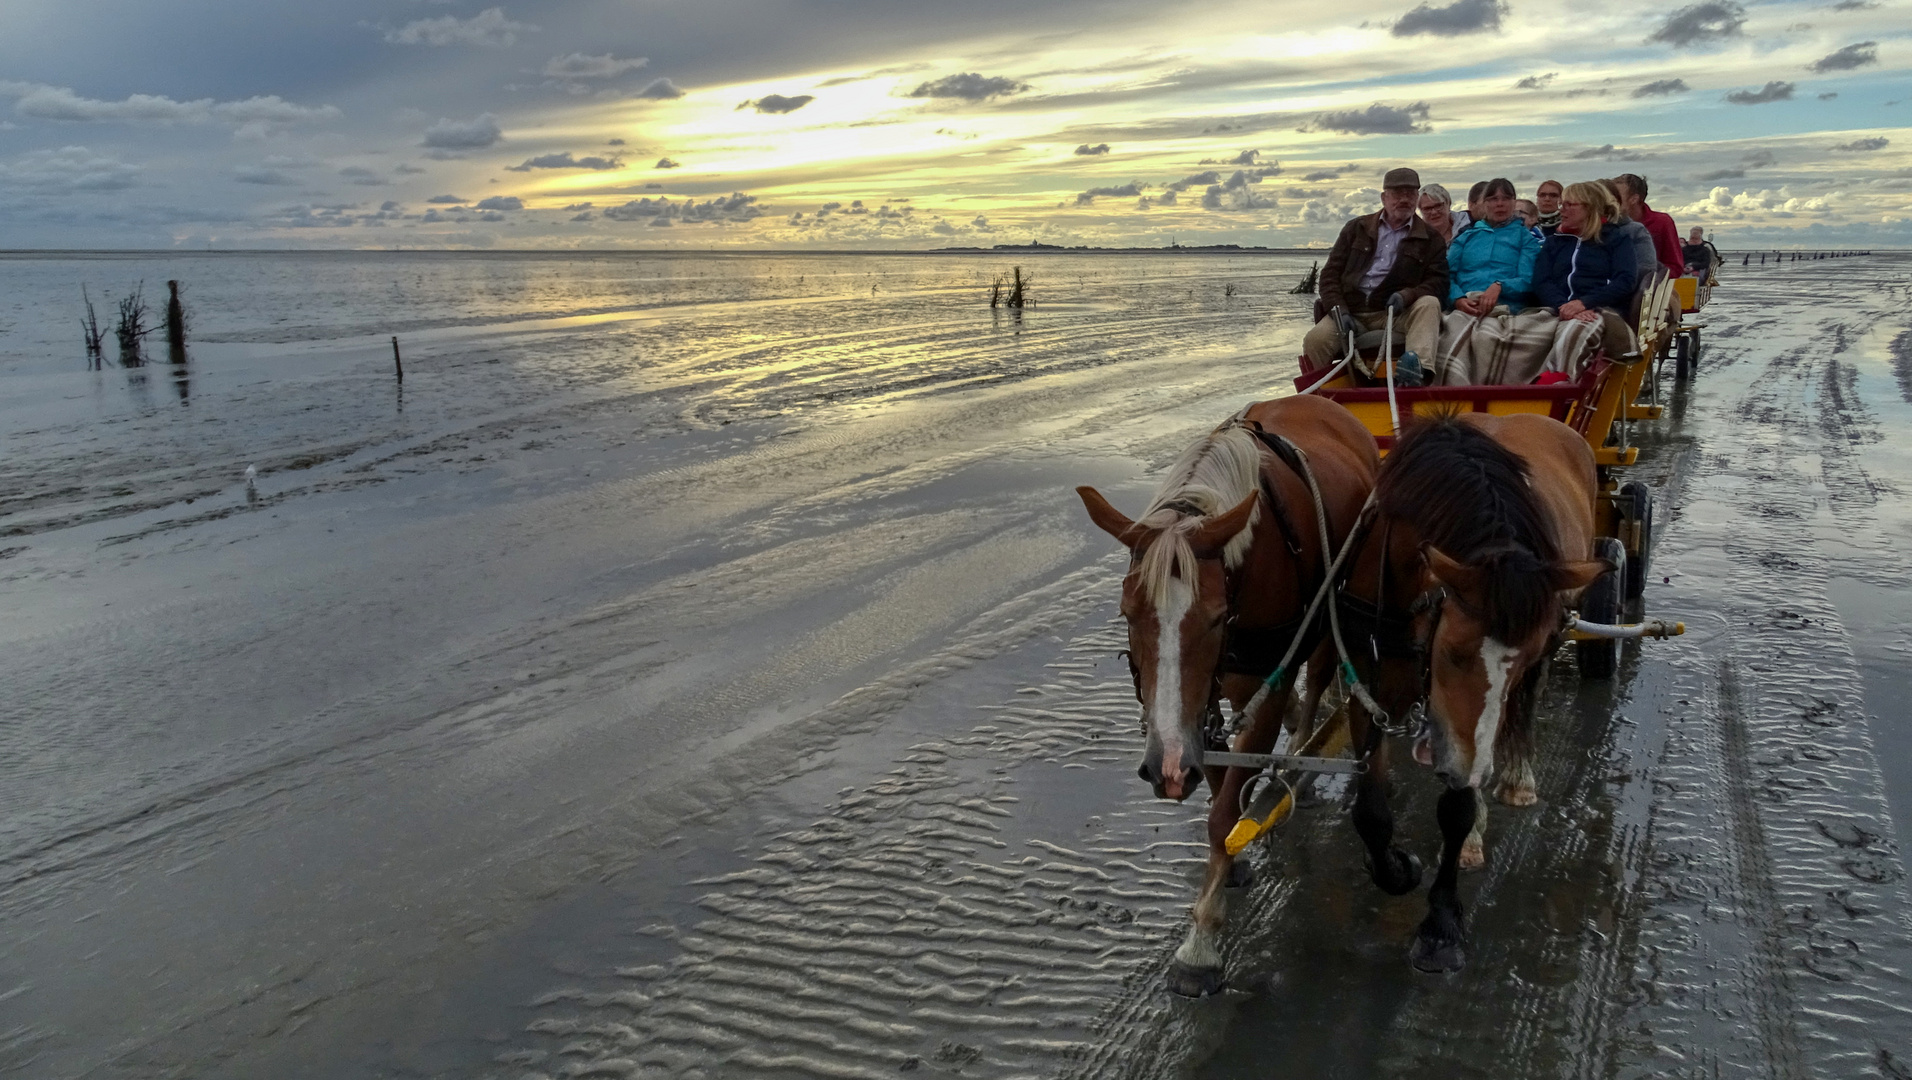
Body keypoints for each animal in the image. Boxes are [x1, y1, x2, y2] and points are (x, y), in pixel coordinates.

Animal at [1086, 393, 1384, 993]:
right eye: (1128, 614)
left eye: (1215, 616)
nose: (1166, 770)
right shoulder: (1197, 707)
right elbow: (1218, 776)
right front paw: (1229, 865)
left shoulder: (1259, 687)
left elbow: (1224, 811)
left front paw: (1201, 940)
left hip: (1332, 605)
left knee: (1319, 677)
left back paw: (1301, 757)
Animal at [1346, 410, 1613, 967]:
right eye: (1452, 649)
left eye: (1526, 653)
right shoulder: (1366, 680)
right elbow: (1372, 810)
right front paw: (1394, 868)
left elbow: (1458, 805)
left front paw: (1442, 921)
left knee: (1523, 710)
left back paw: (1517, 777)